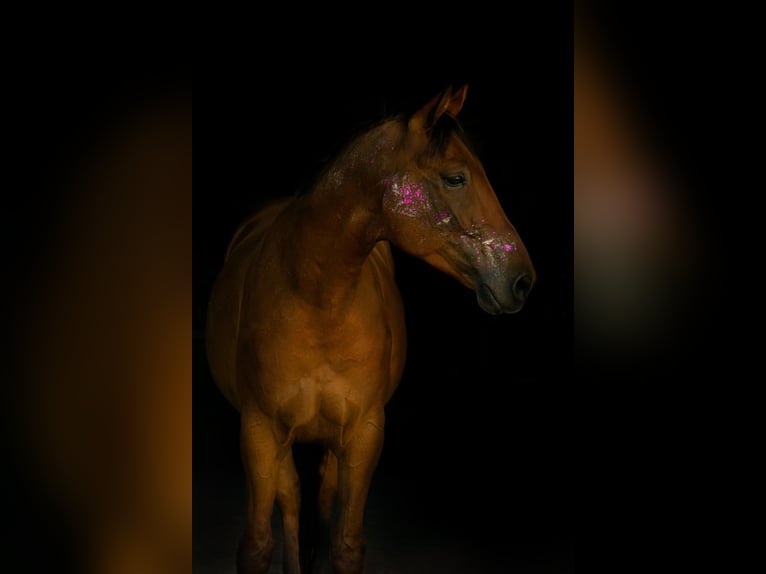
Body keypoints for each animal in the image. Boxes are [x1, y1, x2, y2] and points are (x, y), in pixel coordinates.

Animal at [205, 84, 536, 574]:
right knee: (292, 500)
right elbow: (258, 545)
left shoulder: (364, 434)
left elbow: (345, 544)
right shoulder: (259, 431)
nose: (521, 280)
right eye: (456, 178)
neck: (318, 301)